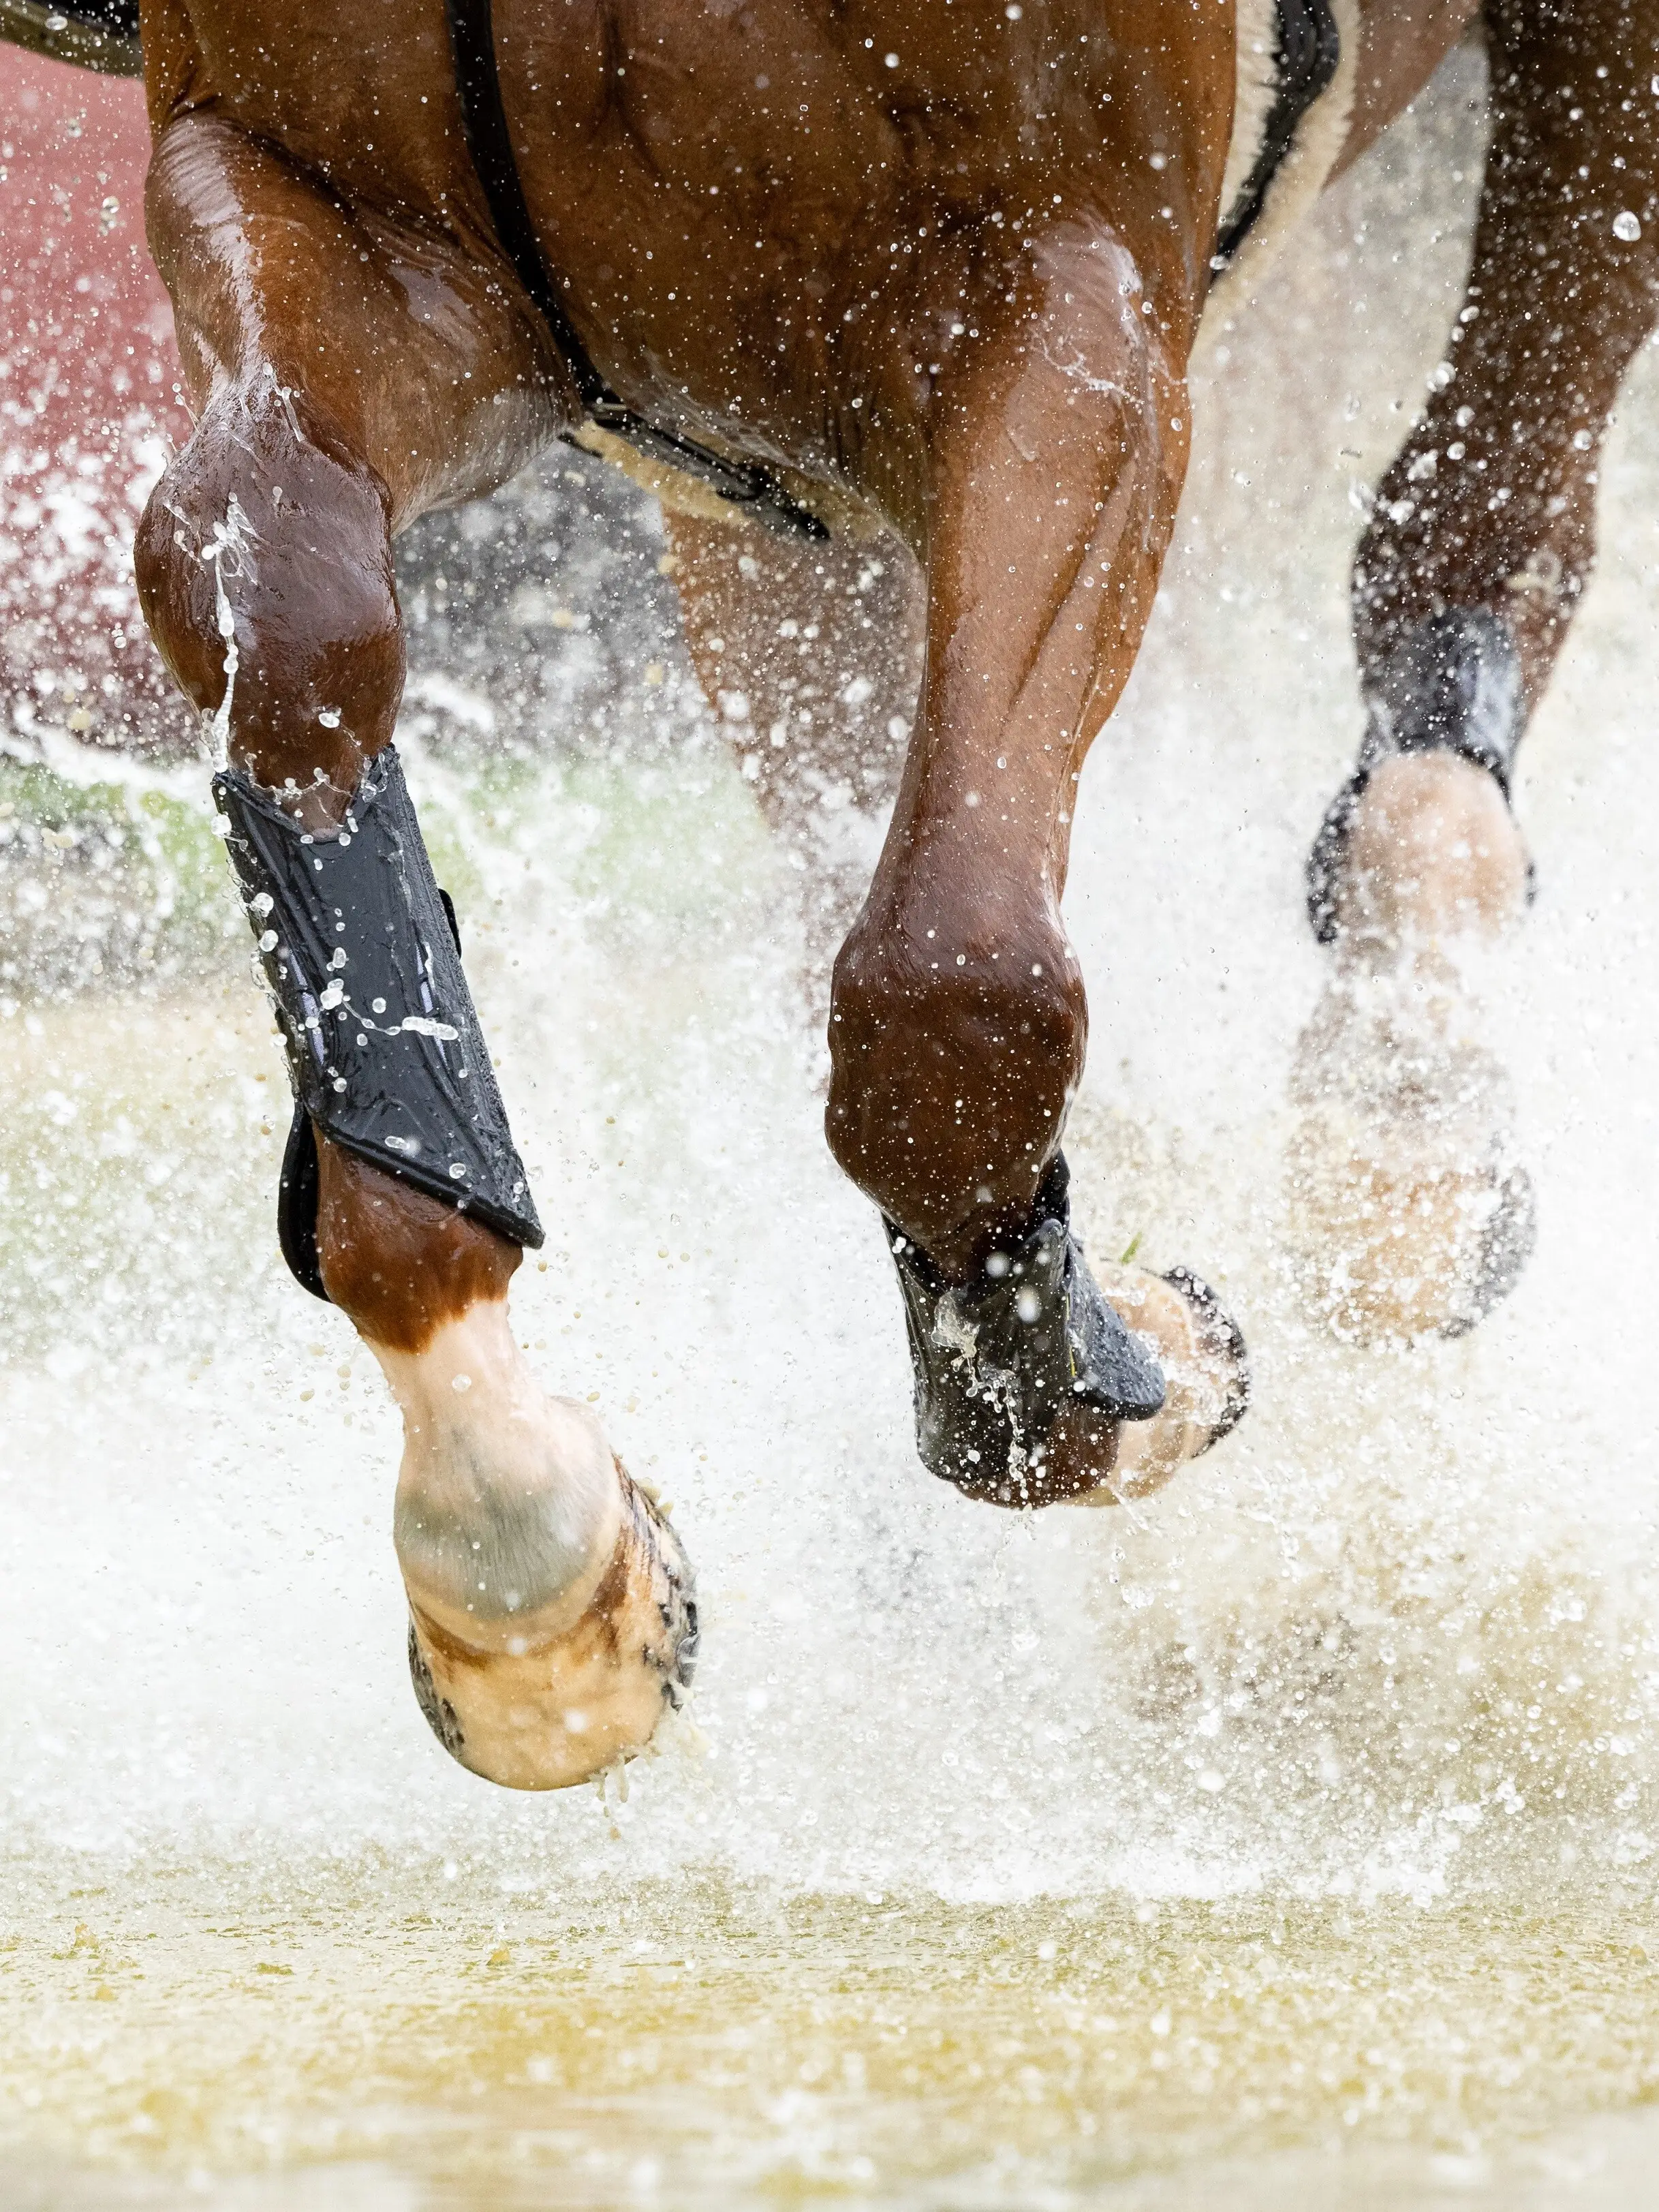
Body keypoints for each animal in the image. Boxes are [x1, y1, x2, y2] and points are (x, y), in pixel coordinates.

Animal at [8, 0, 1652, 1790]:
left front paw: (1125, 1345)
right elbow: (284, 609)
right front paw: (523, 1561)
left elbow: (955, 983)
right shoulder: (332, 212)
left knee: (1488, 502)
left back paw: (1400, 1116)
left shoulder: (1050, 288)